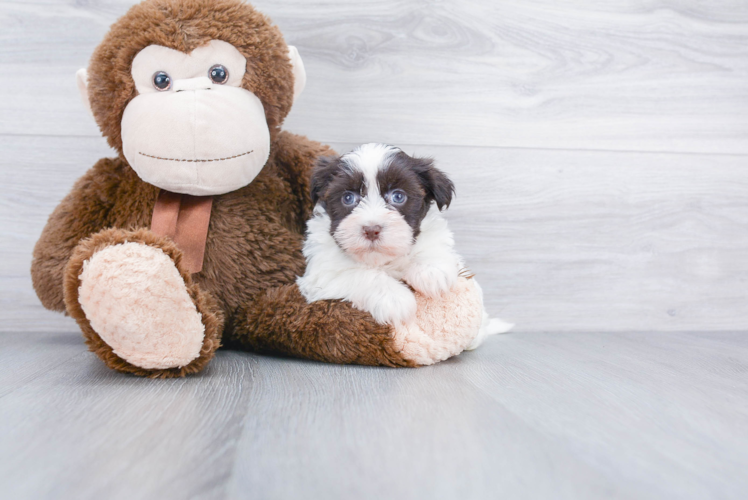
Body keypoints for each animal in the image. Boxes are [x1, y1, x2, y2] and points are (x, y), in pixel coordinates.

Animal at [298, 143, 516, 350]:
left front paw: (431, 272)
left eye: (398, 196)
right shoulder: (320, 274)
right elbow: (359, 274)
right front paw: (394, 298)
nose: (371, 229)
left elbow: (433, 244)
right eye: (348, 198)